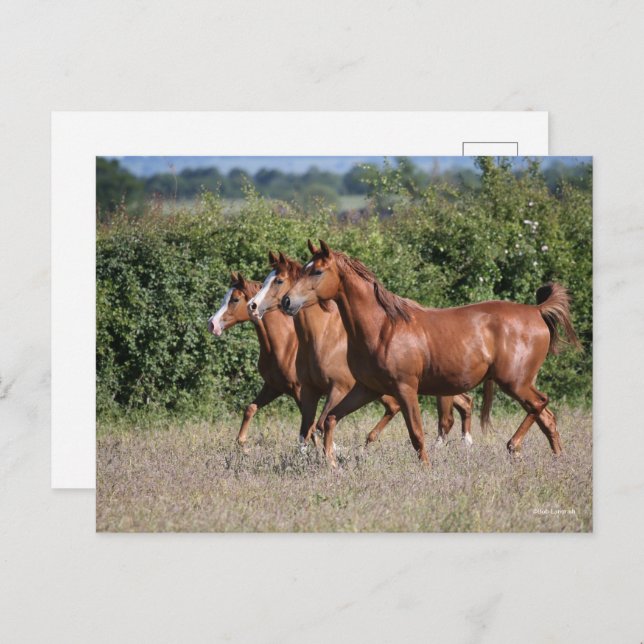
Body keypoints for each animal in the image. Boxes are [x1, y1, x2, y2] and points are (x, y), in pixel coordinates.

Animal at [208, 272, 300, 443]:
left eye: (235, 299)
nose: (211, 324)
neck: (286, 346)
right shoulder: (273, 387)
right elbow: (250, 409)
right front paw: (242, 442)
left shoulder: (300, 391)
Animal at [248, 251, 474, 448]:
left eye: (278, 281)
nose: (253, 305)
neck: (320, 338)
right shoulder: (309, 389)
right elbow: (307, 429)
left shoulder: (338, 388)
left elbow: (318, 424)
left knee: (447, 415)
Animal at [281, 240, 580, 466]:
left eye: (317, 272)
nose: (286, 301)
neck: (383, 327)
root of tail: (537, 311)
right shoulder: (368, 389)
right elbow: (329, 420)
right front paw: (332, 464)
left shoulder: (405, 388)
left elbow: (416, 434)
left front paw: (426, 469)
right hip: (521, 383)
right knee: (547, 417)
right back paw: (557, 459)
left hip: (515, 382)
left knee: (540, 404)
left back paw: (514, 446)